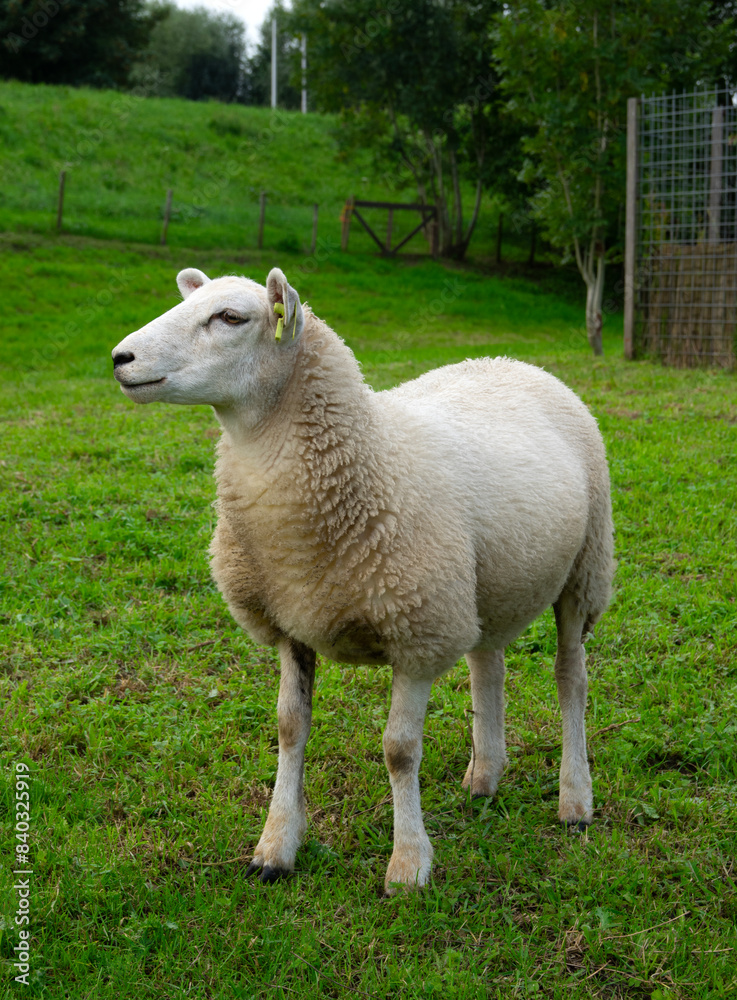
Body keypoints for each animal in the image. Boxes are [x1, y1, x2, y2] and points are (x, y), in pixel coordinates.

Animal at [112, 266, 614, 893]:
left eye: (230, 317)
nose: (121, 358)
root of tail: (512, 361)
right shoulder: (291, 623)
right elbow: (289, 727)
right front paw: (275, 847)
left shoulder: (418, 632)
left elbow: (399, 750)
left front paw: (408, 865)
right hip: (481, 584)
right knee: (487, 664)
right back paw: (484, 777)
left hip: (584, 569)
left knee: (571, 677)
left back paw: (575, 801)